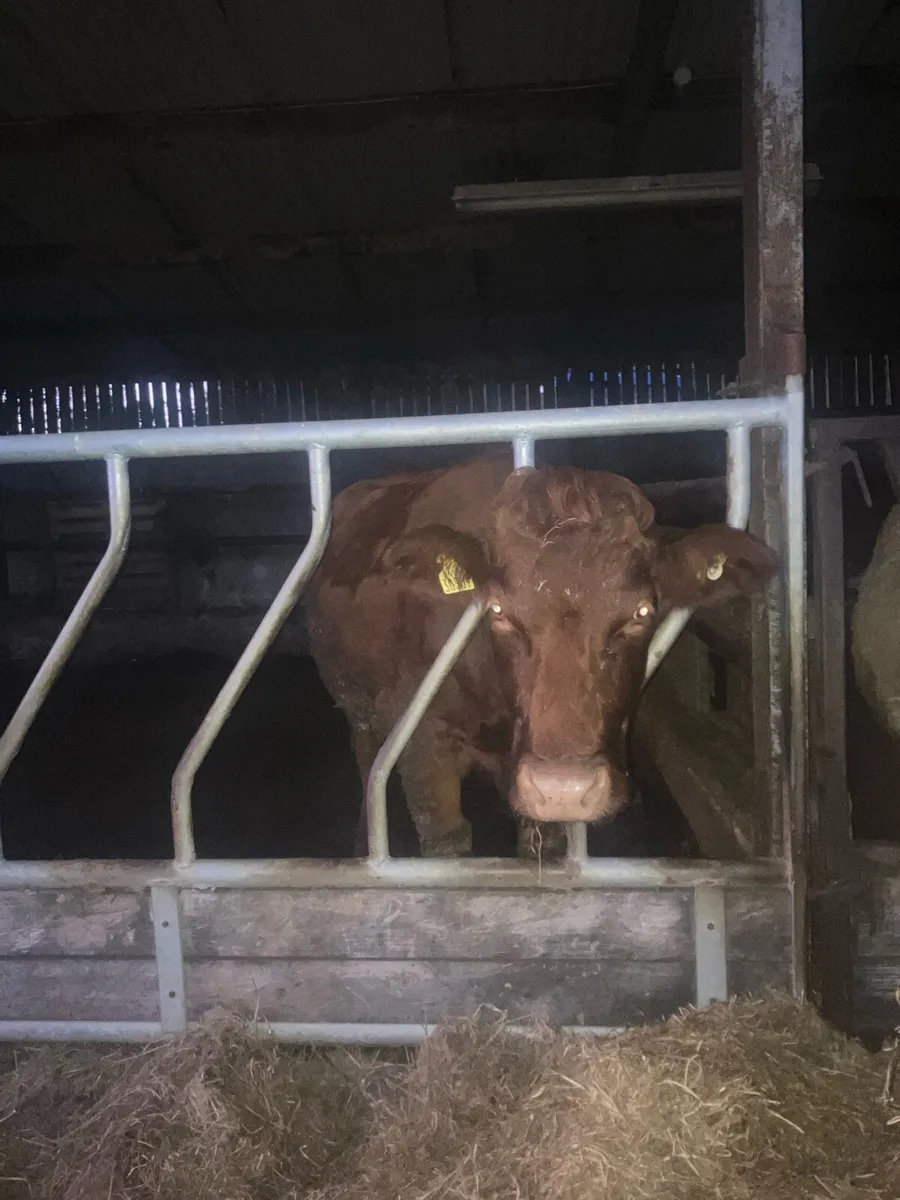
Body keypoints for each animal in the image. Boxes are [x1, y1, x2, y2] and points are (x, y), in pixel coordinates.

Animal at [305, 452, 778, 858]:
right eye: (497, 610)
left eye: (642, 612)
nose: (564, 787)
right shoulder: (421, 740)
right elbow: (446, 841)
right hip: (360, 710)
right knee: (368, 764)